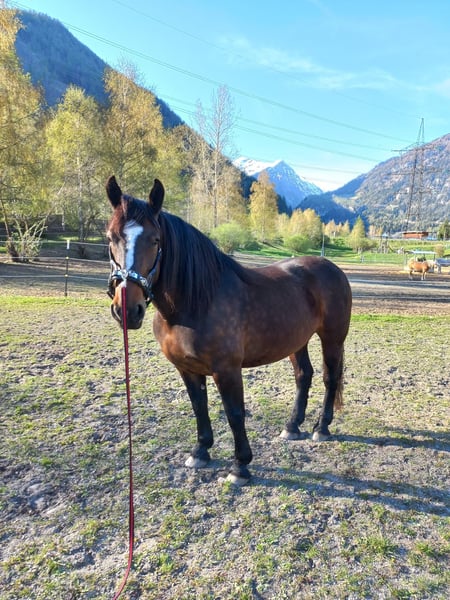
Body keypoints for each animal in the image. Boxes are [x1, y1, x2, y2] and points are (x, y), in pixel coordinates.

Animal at [105, 176, 352, 485]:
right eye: (111, 237)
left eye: (155, 240)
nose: (127, 309)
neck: (195, 302)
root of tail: (333, 269)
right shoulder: (187, 368)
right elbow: (199, 406)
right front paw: (200, 452)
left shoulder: (227, 369)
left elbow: (234, 413)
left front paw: (240, 466)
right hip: (297, 341)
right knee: (303, 376)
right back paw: (292, 426)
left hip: (332, 338)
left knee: (330, 378)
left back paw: (322, 428)